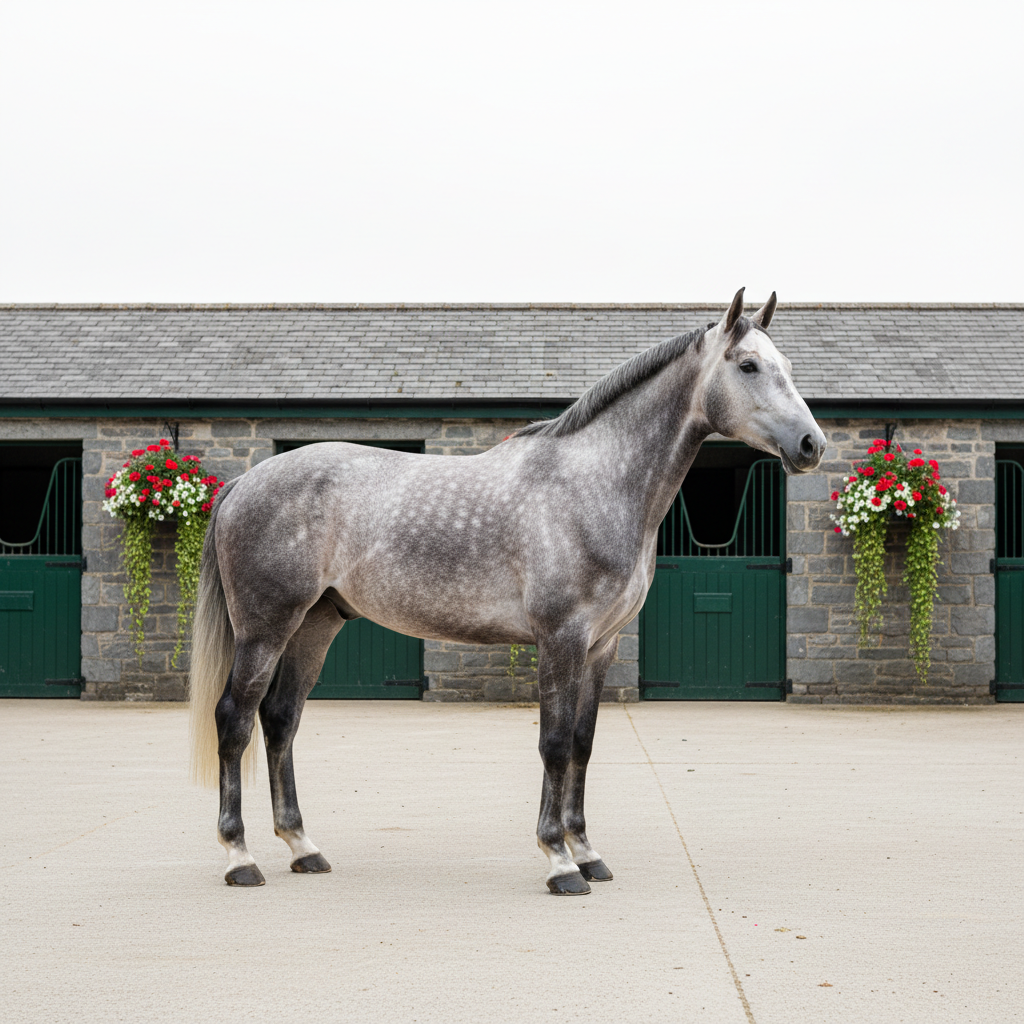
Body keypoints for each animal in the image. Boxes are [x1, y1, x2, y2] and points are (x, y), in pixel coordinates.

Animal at [188, 287, 826, 892]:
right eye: (748, 365)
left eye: (788, 364)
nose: (811, 445)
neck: (591, 485)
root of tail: (245, 480)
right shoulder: (561, 638)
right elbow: (554, 743)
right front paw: (559, 862)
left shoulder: (601, 647)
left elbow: (583, 743)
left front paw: (588, 853)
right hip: (266, 627)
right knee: (235, 719)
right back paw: (240, 858)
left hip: (315, 623)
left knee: (280, 720)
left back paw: (303, 848)